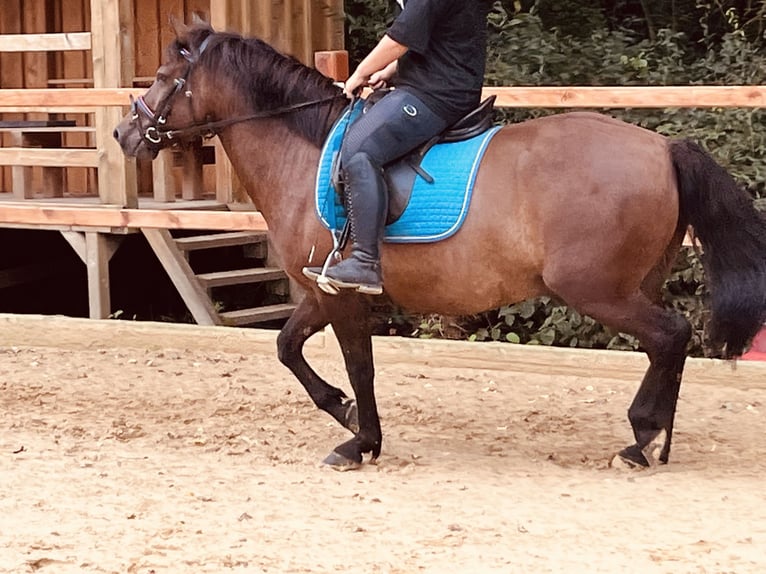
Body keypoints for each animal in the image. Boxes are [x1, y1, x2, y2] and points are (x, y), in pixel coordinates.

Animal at [114, 20, 766, 472]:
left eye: (164, 81)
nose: (124, 133)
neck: (304, 150)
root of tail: (663, 147)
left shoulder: (344, 296)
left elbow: (359, 365)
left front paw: (361, 441)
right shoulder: (319, 290)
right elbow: (287, 348)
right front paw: (343, 412)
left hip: (596, 289)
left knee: (670, 336)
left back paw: (641, 439)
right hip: (633, 283)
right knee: (665, 345)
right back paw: (650, 439)